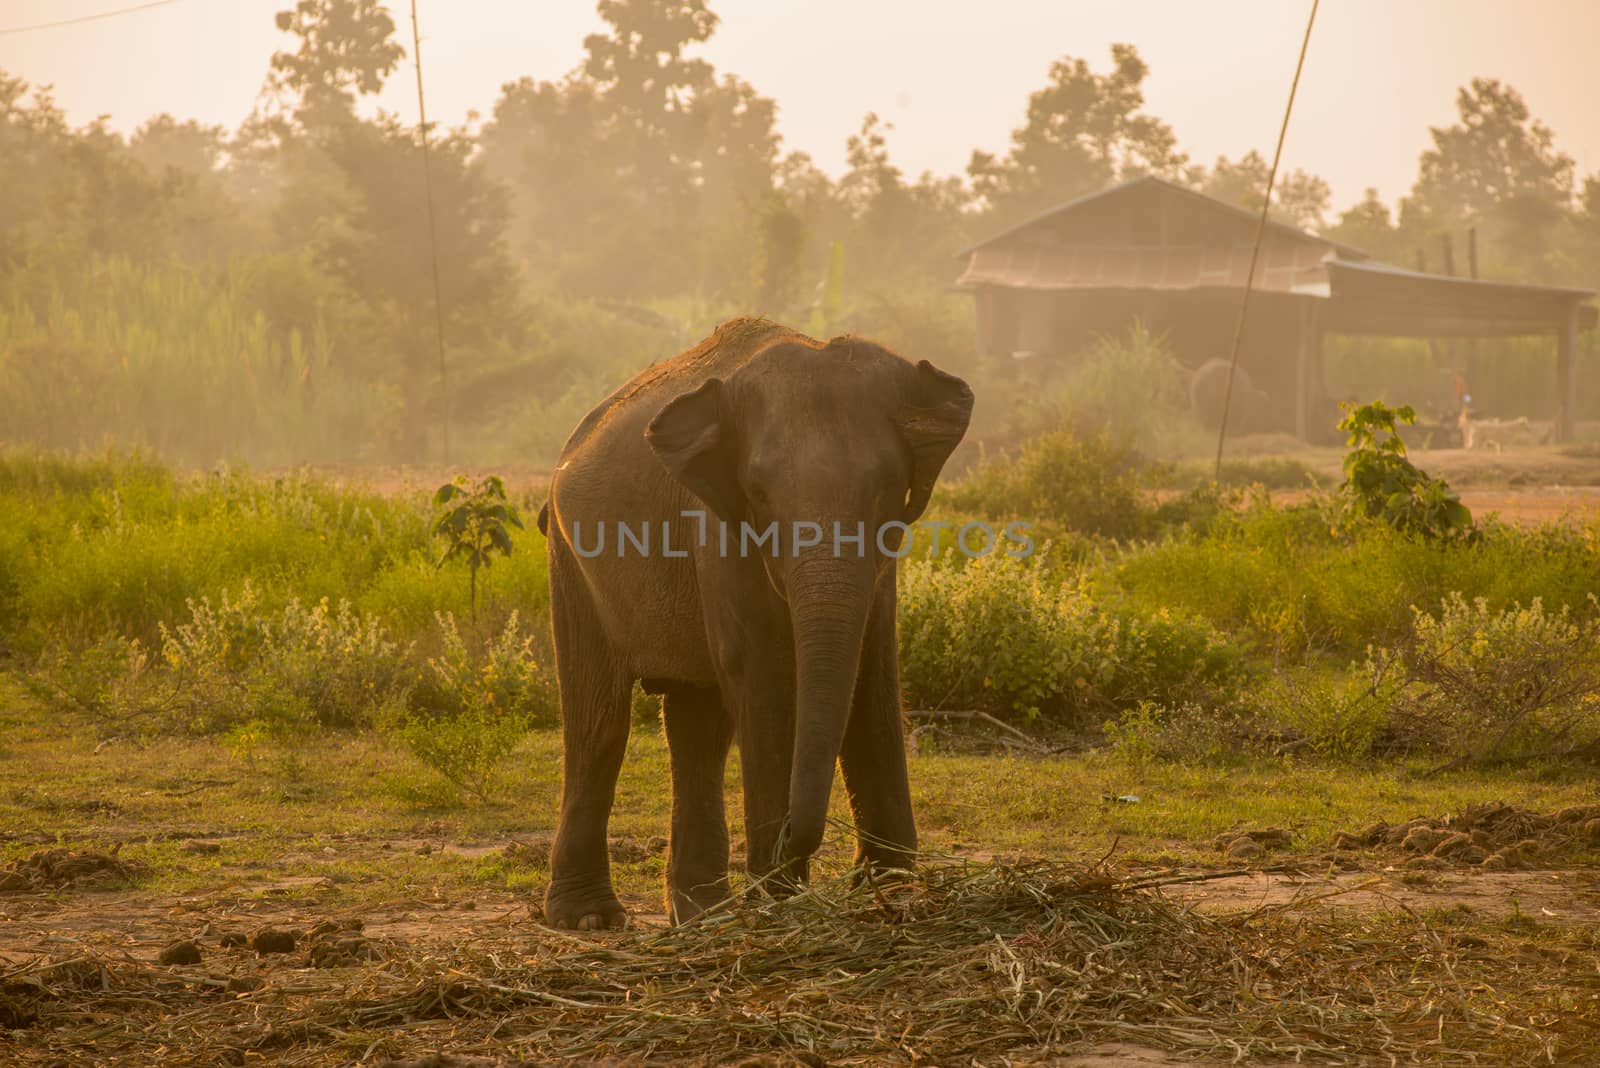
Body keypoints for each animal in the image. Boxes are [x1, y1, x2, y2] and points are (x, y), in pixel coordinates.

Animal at [534, 316, 972, 927]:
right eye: (760, 495)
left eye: (888, 487)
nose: (791, 838)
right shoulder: (717, 530)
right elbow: (765, 677)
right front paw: (780, 898)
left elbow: (873, 675)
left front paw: (893, 890)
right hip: (571, 563)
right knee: (599, 721)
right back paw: (591, 919)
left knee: (696, 721)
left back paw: (703, 912)